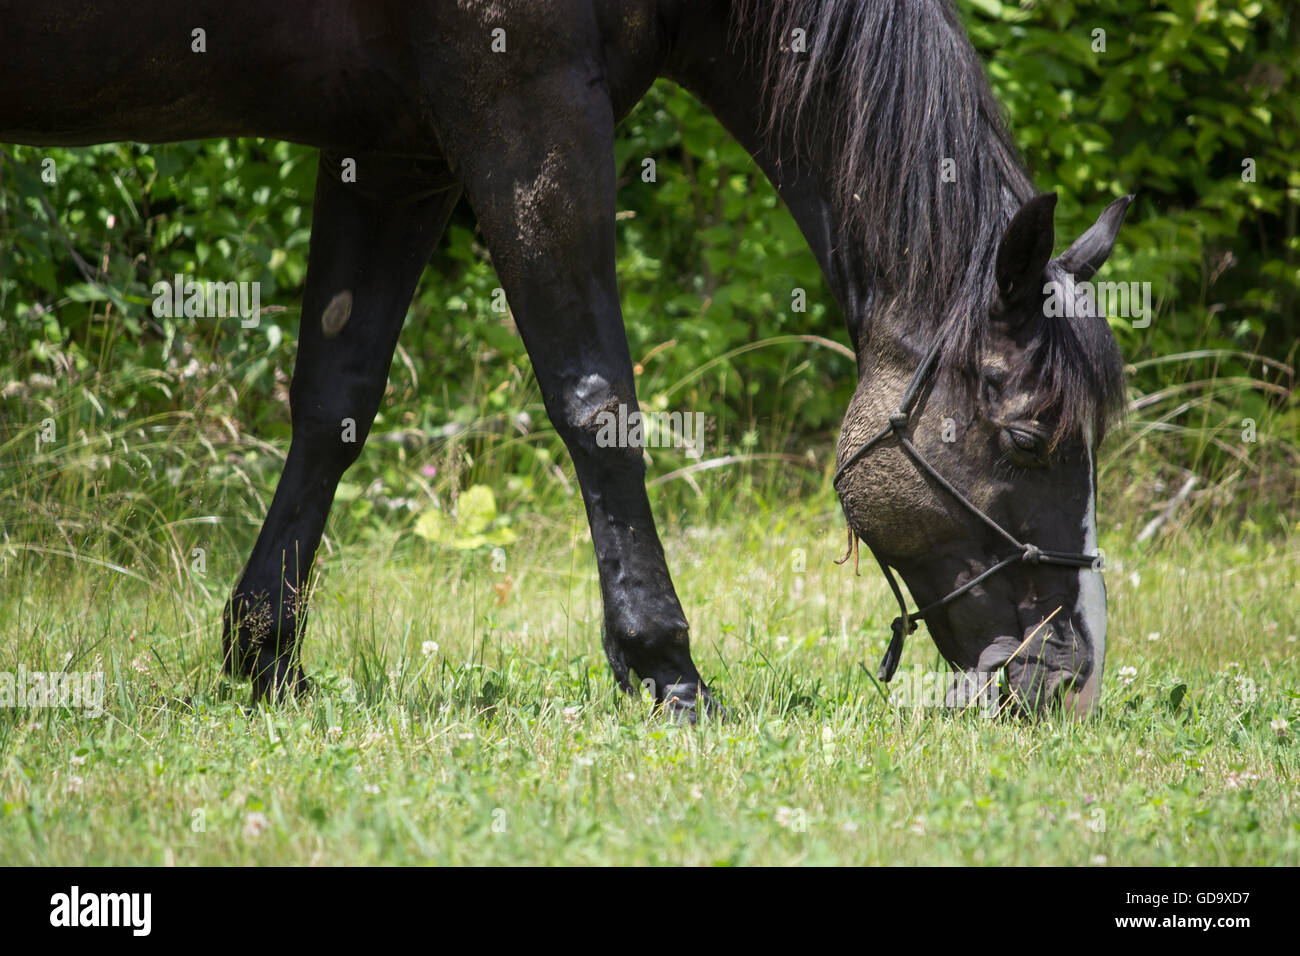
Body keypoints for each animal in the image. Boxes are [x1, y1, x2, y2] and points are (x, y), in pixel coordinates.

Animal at [0, 0, 1130, 717]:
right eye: (1029, 434)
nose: (1070, 675)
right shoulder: (525, 110)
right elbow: (596, 399)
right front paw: (664, 667)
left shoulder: (396, 147)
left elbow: (335, 399)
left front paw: (266, 657)